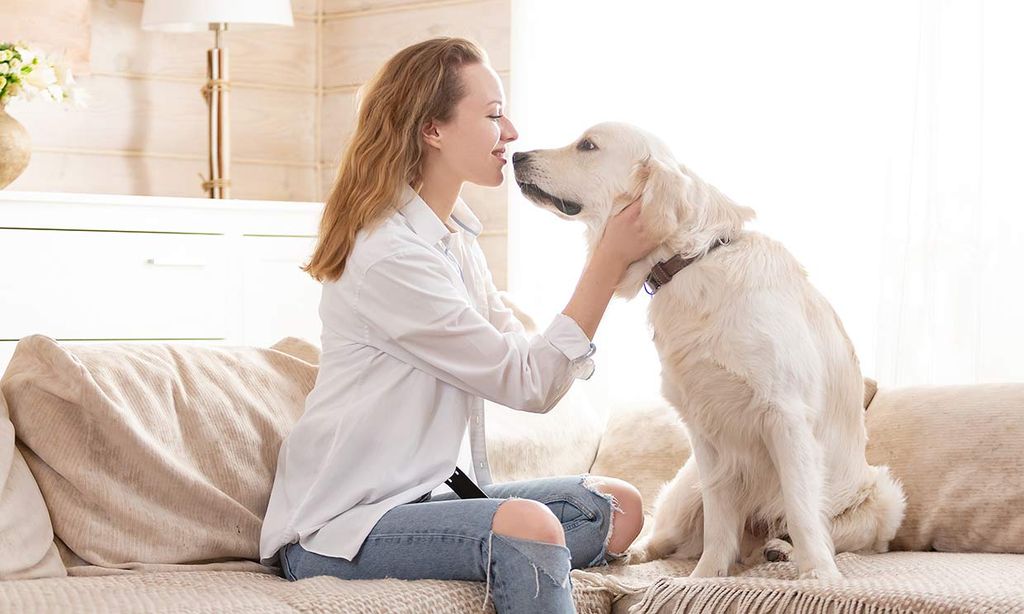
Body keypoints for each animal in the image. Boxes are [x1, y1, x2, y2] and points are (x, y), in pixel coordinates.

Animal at [512, 122, 905, 577]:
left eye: (587, 146)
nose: (516, 156)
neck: (693, 261)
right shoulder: (705, 430)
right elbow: (719, 522)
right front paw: (704, 577)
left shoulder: (786, 416)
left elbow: (801, 510)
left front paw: (818, 575)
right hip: (688, 483)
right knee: (667, 533)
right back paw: (633, 554)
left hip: (885, 499)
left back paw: (780, 548)